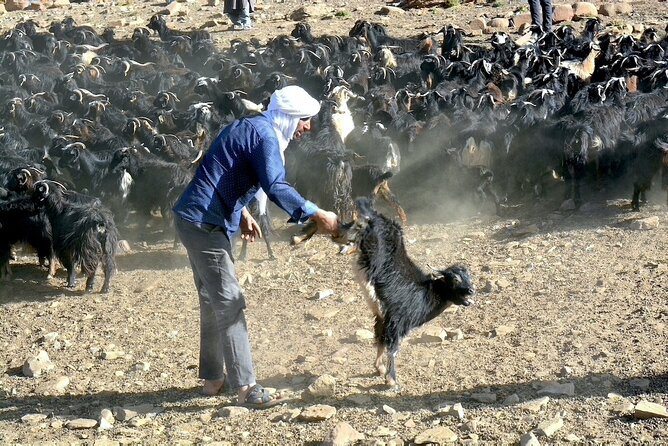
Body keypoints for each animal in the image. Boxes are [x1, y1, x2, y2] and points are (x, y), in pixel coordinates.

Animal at [340, 198, 474, 386]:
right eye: (455, 280)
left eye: (469, 277)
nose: (471, 290)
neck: (426, 293)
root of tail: (375, 216)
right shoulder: (398, 320)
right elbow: (393, 348)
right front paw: (391, 379)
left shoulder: (383, 317)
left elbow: (380, 339)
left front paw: (379, 368)